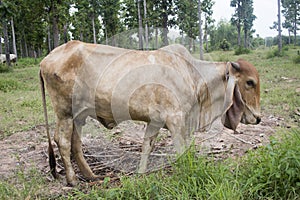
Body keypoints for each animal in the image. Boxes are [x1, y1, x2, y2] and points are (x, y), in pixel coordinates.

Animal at [39, 40, 260, 186]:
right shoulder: (176, 120)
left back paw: (91, 175)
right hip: (64, 112)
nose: (258, 118)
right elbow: (181, 149)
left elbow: (147, 146)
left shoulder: (155, 121)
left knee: (75, 143)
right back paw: (73, 180)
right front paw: (184, 172)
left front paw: (141, 172)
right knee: (63, 142)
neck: (194, 77)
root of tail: (46, 59)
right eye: (250, 82)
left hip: (79, 115)